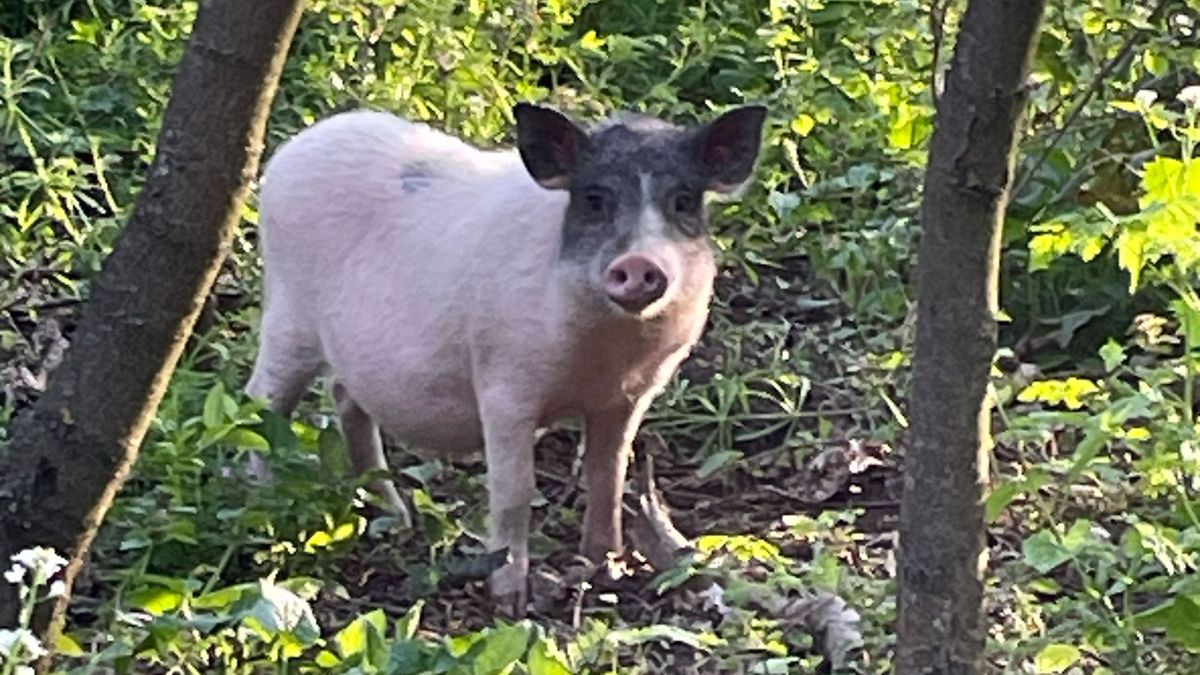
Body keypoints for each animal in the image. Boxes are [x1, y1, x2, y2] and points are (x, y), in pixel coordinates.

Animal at [244, 100, 768, 610]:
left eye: (683, 200)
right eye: (594, 198)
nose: (639, 264)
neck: (603, 356)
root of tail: (294, 150)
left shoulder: (629, 396)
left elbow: (608, 474)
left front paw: (608, 565)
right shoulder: (505, 385)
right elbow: (515, 490)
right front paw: (510, 602)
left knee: (345, 397)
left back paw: (397, 517)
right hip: (288, 316)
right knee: (260, 401)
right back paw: (265, 502)